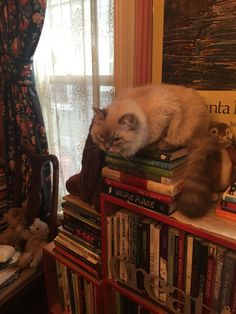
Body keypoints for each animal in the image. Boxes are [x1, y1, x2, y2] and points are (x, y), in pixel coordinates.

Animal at [91, 82, 220, 217]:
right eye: (102, 136)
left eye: (116, 139)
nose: (106, 147)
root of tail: (205, 128)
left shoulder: (168, 117)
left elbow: (161, 136)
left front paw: (152, 146)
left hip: (187, 128)